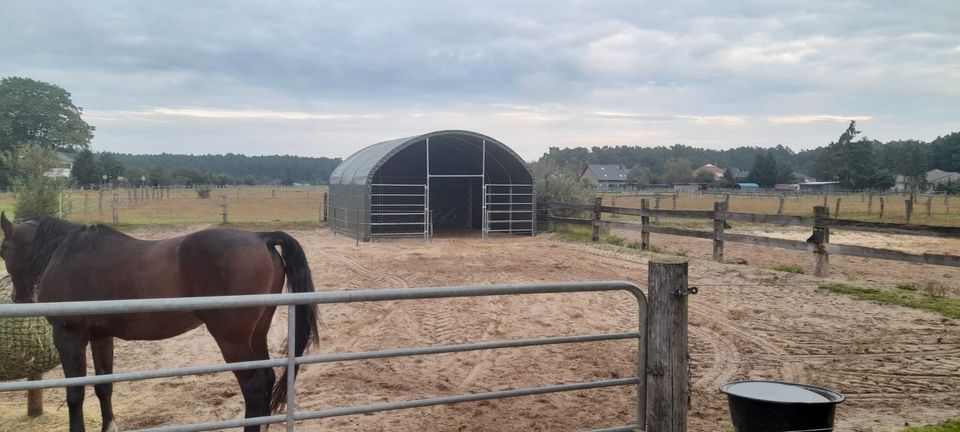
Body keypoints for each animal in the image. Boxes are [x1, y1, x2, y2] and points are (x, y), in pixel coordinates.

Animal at [0, 213, 322, 432]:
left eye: (3, 250)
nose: (19, 299)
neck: (65, 253)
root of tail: (260, 237)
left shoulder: (69, 336)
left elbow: (75, 393)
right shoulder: (101, 336)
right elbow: (104, 386)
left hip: (232, 340)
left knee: (253, 386)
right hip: (257, 334)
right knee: (266, 378)